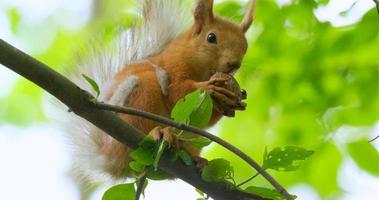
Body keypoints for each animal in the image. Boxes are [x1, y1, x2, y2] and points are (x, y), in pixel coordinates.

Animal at [62, 0, 256, 188]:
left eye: (245, 46)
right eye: (211, 37)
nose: (234, 64)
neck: (202, 70)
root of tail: (108, 157)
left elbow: (206, 118)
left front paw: (233, 100)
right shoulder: (173, 64)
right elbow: (177, 94)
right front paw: (210, 88)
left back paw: (194, 157)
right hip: (140, 99)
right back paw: (158, 133)